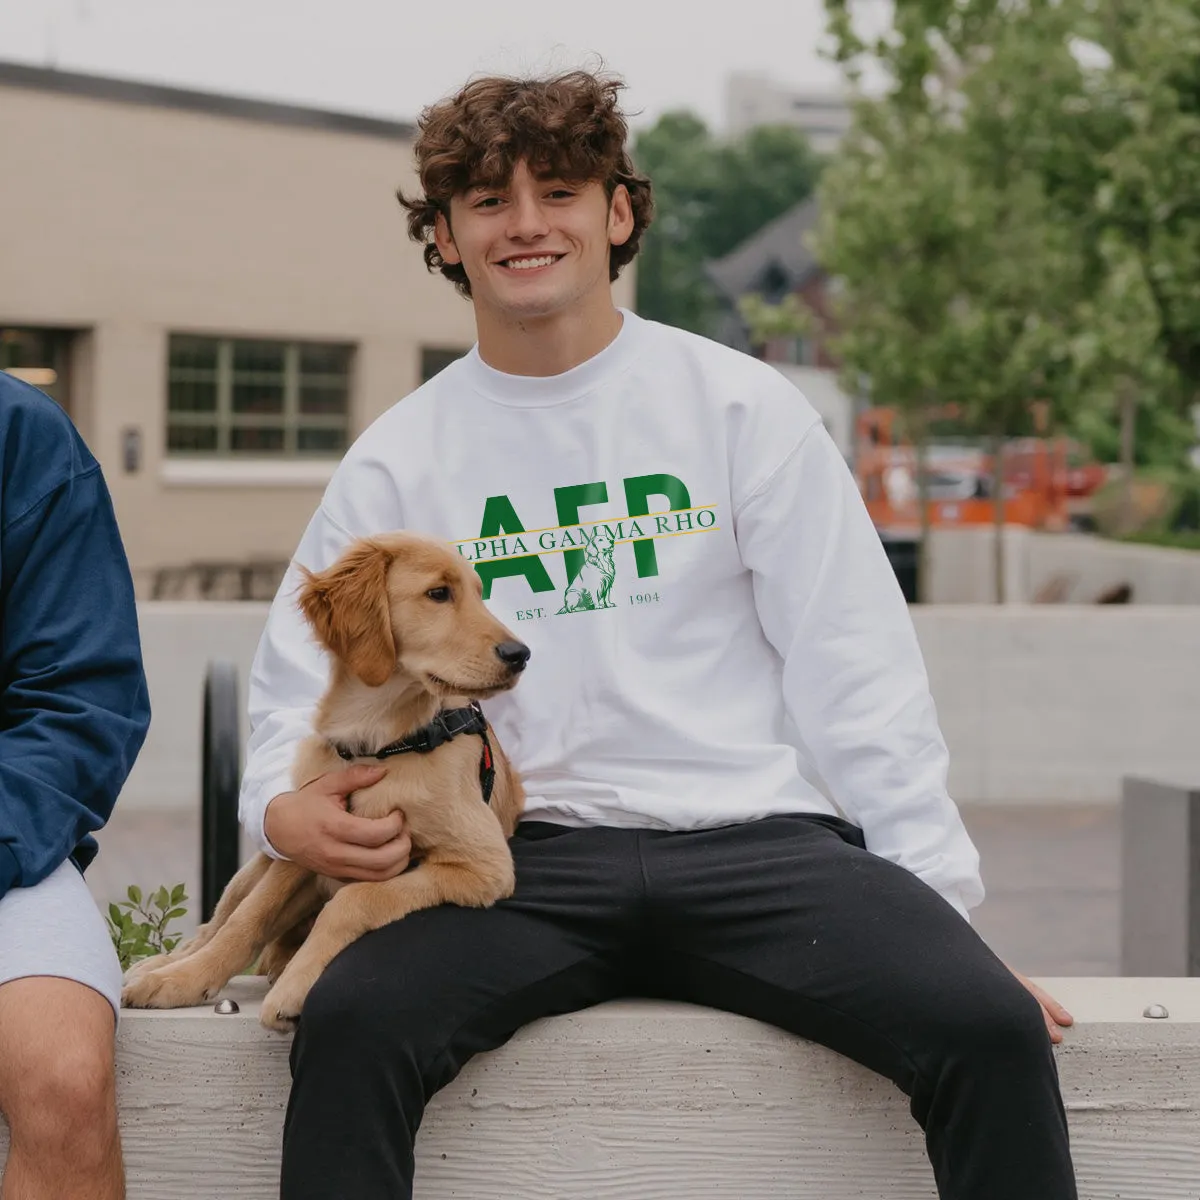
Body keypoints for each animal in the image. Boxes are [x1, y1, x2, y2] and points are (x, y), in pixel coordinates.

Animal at [121, 535, 530, 1032]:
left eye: (478, 592)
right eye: (439, 594)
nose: (519, 655)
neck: (381, 740)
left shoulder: (483, 865)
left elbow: (354, 898)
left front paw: (294, 988)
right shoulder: (308, 838)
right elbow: (247, 920)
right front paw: (185, 979)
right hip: (263, 858)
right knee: (216, 921)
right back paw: (160, 966)